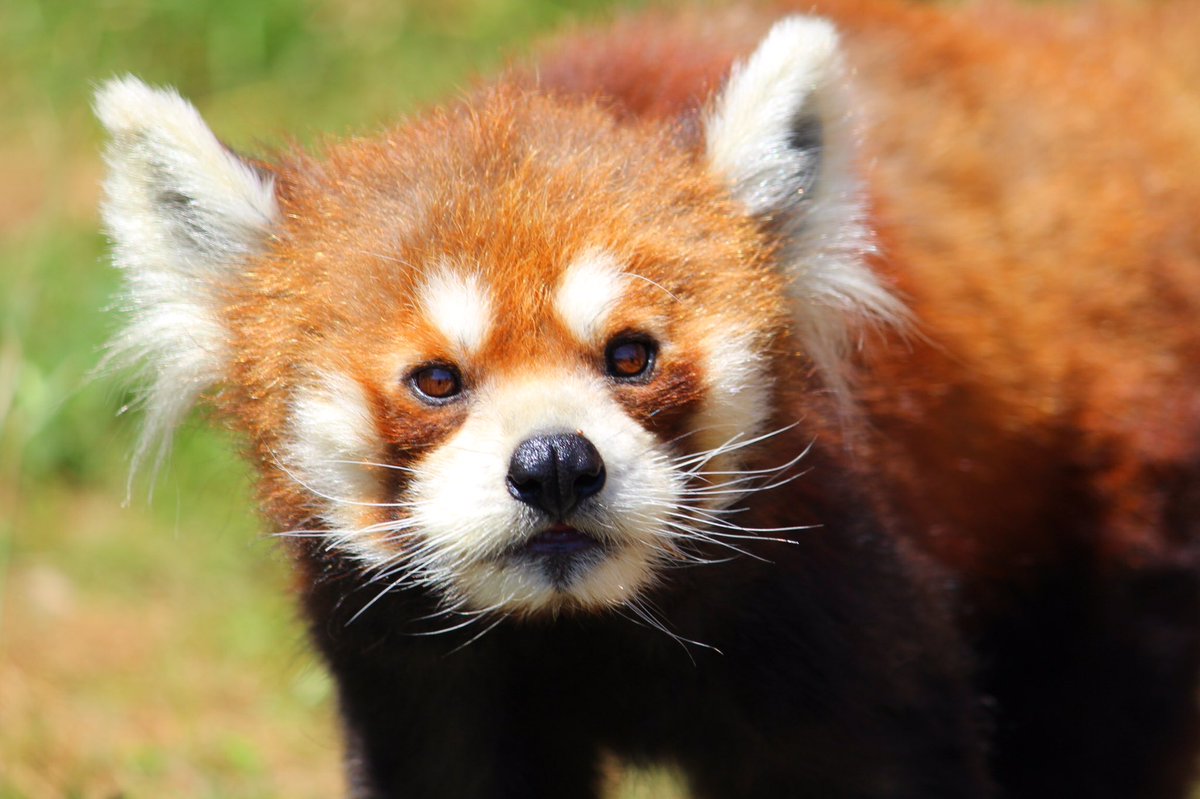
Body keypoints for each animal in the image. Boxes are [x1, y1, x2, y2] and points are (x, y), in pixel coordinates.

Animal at [93, 0, 1200, 791]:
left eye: (630, 355)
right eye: (436, 379)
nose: (554, 465)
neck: (594, 624)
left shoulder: (839, 607)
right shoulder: (421, 677)